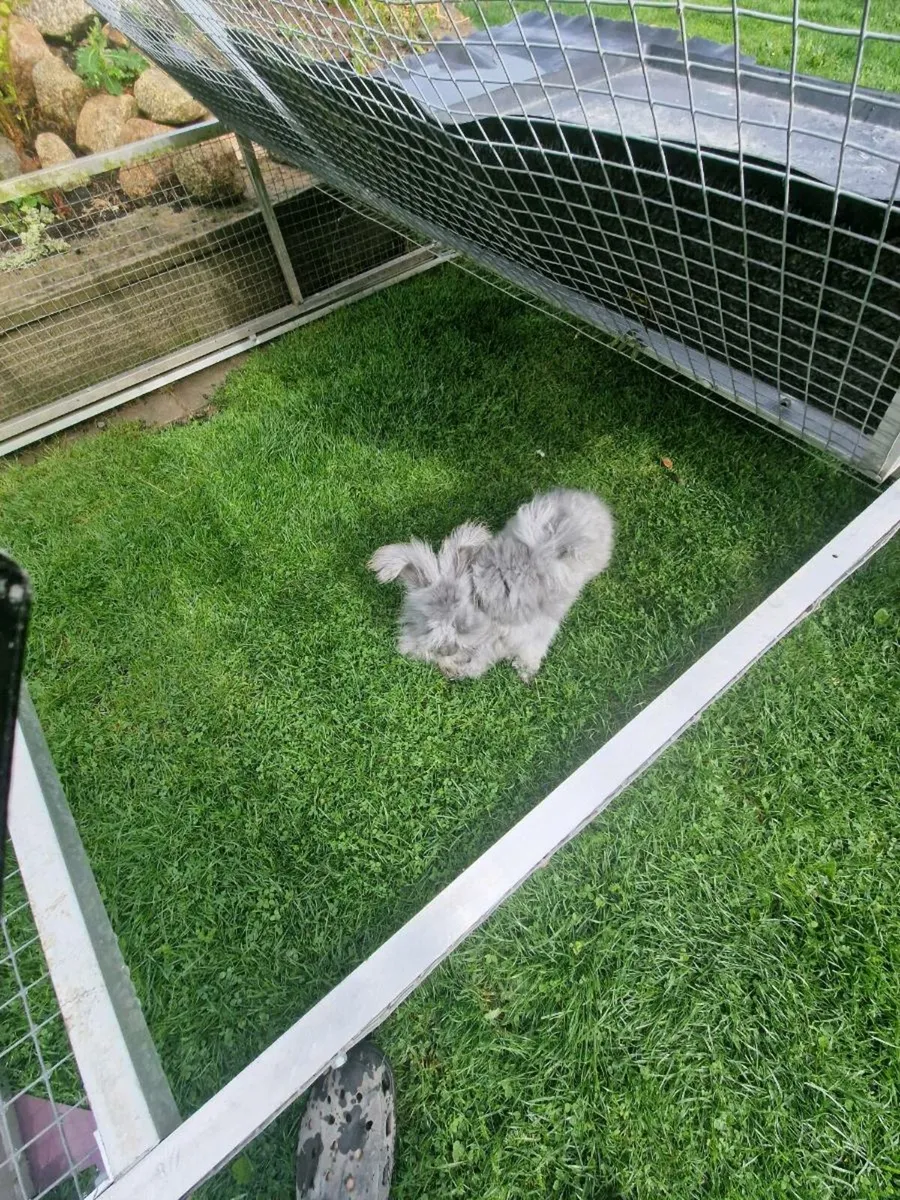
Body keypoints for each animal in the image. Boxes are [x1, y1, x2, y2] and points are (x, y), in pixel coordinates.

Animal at [368, 489, 614, 682]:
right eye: (428, 625)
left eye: (460, 625)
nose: (446, 650)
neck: (482, 604)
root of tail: (591, 501)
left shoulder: (530, 629)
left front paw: (524, 672)